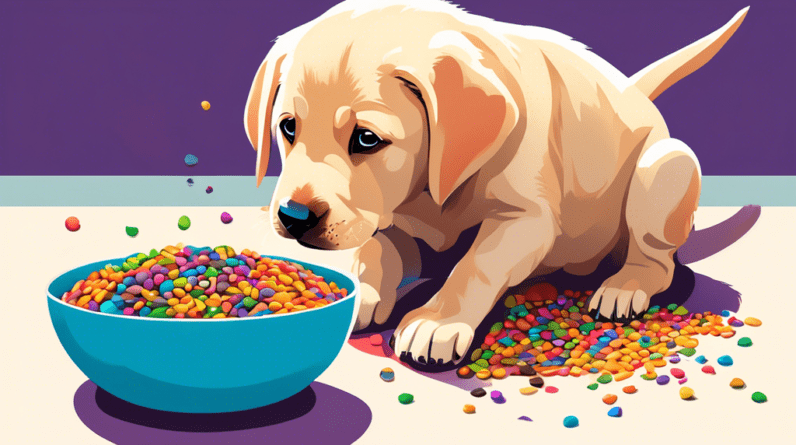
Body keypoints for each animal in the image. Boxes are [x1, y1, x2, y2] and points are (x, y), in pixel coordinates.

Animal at [243, 0, 748, 366]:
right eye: (287, 127)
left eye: (367, 138)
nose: (294, 217)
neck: (430, 191)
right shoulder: (383, 218)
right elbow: (375, 255)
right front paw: (359, 295)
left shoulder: (526, 220)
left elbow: (475, 265)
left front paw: (436, 322)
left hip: (662, 170)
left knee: (657, 261)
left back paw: (625, 287)